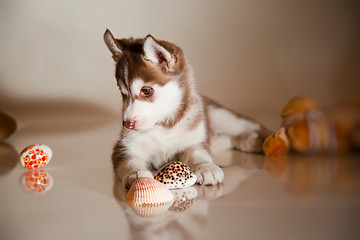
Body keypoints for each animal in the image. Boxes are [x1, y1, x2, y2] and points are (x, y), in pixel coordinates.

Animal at [104, 29, 270, 189]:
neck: (165, 125)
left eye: (146, 91)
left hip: (223, 117)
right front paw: (138, 176)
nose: (127, 124)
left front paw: (206, 167)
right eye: (123, 92)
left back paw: (265, 141)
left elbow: (198, 152)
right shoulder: (125, 147)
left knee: (252, 125)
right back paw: (250, 141)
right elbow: (131, 162)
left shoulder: (194, 140)